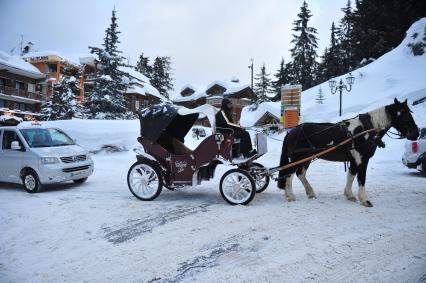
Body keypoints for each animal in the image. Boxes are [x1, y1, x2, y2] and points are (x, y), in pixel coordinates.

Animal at [276, 98, 420, 207]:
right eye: (404, 115)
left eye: (410, 113)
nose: (416, 133)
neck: (365, 130)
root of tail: (291, 132)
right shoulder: (362, 159)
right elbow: (361, 178)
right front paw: (364, 199)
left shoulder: (354, 159)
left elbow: (351, 175)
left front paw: (349, 195)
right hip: (297, 158)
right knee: (289, 174)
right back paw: (290, 196)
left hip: (307, 157)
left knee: (300, 174)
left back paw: (309, 192)